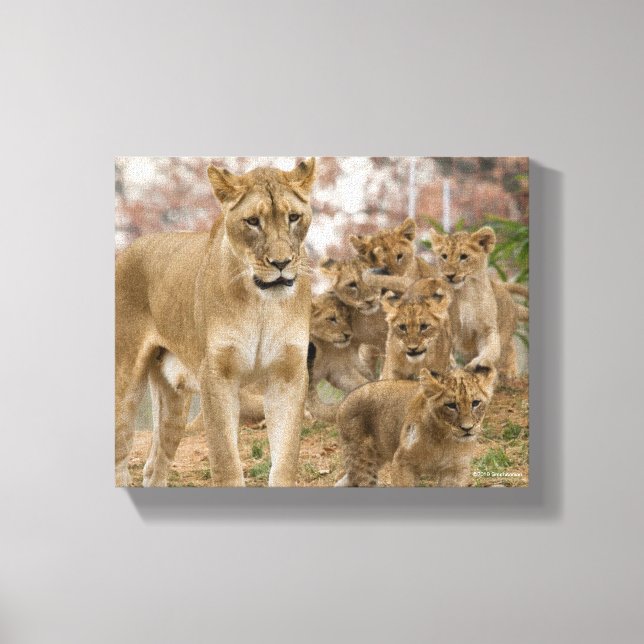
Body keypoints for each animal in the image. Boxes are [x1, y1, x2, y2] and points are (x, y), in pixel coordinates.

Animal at [115, 158, 316, 487]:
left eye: (294, 217)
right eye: (252, 221)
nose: (281, 263)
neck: (262, 304)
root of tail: (126, 250)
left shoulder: (288, 374)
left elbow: (285, 460)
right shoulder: (216, 374)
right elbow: (226, 460)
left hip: (174, 401)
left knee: (154, 465)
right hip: (124, 382)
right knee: (120, 457)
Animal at [335, 364, 496, 487]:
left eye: (475, 403)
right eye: (451, 405)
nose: (467, 428)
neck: (445, 441)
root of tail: (344, 400)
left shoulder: (455, 469)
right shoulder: (402, 462)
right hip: (362, 461)